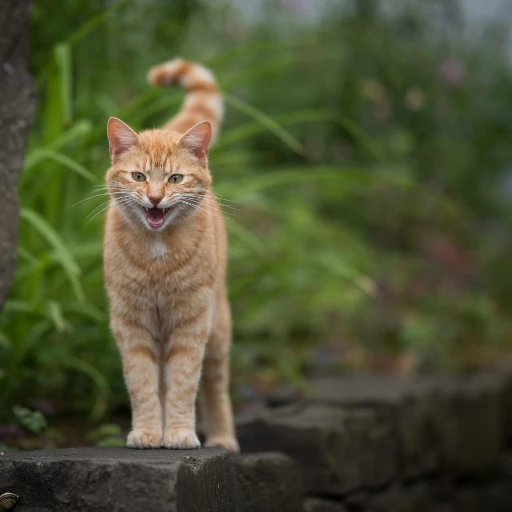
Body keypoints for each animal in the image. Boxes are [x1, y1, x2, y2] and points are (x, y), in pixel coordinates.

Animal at [104, 57, 240, 452]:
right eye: (138, 176)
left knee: (215, 386)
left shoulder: (190, 324)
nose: (154, 198)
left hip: (218, 330)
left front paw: (179, 433)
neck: (157, 253)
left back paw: (222, 439)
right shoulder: (132, 325)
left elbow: (184, 383)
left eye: (176, 178)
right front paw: (149, 432)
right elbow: (143, 384)